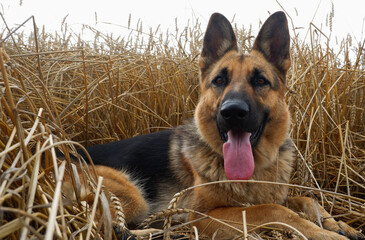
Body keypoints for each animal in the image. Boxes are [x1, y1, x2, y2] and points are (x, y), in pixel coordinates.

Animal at [64, 11, 362, 240]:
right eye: (219, 80)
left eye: (260, 81)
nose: (232, 112)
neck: (253, 172)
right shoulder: (204, 216)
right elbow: (274, 210)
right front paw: (326, 234)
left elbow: (306, 200)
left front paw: (337, 224)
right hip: (131, 195)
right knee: (101, 222)